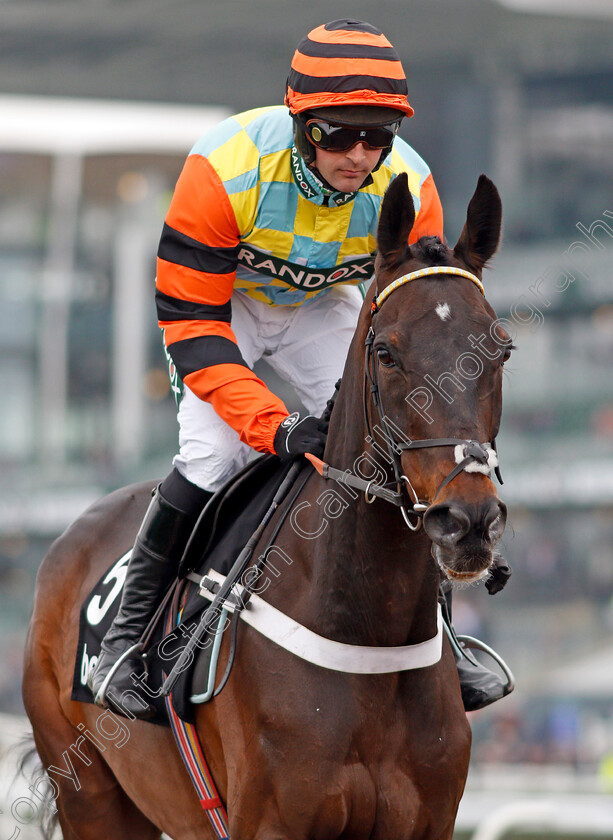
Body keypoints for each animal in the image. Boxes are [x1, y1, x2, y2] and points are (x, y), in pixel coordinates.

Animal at [23, 172, 510, 840]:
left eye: (502, 349)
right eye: (387, 352)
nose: (468, 521)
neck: (366, 632)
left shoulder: (430, 822)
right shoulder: (272, 821)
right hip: (90, 795)